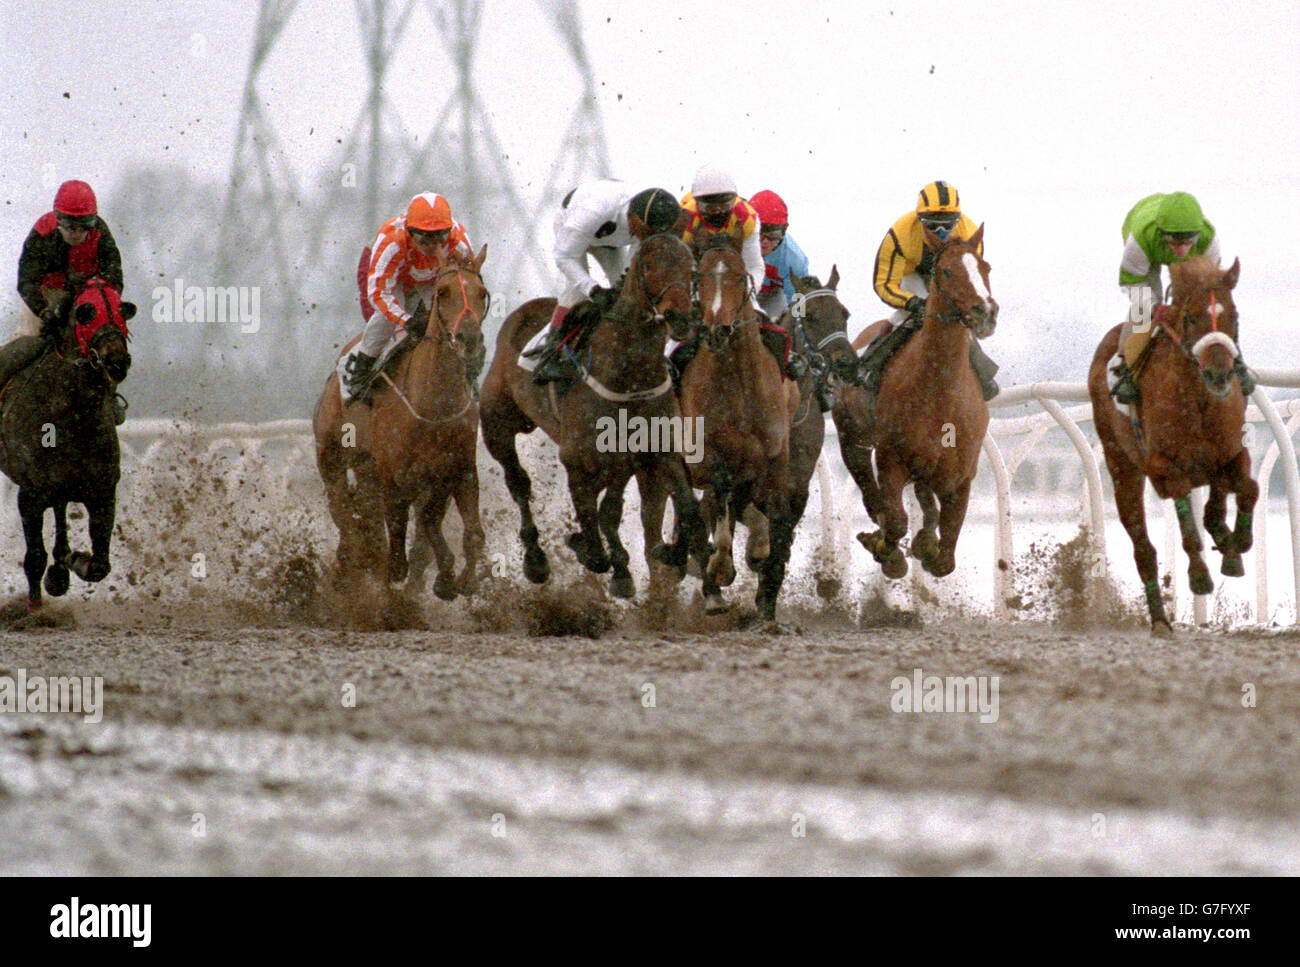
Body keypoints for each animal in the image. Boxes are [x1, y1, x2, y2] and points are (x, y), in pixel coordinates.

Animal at [0, 280, 134, 610]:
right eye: (86, 312)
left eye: (121, 309)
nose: (117, 361)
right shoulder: (30, 494)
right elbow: (35, 557)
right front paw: (35, 609)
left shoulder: (103, 490)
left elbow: (100, 565)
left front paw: (74, 561)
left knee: (61, 511)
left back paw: (61, 566)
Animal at [313, 246, 489, 600]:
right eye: (442, 292)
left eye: (482, 293)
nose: (470, 339)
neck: (434, 405)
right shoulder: (395, 476)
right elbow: (397, 547)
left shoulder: (458, 469)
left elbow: (462, 531)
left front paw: (459, 579)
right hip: (332, 456)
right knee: (345, 515)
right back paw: (349, 566)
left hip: (368, 468)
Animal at [479, 232, 715, 600]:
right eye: (649, 265)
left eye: (690, 266)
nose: (681, 317)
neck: (628, 375)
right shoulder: (577, 461)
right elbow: (592, 528)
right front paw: (588, 550)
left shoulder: (654, 453)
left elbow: (683, 506)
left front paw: (674, 558)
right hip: (497, 424)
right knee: (518, 483)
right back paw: (536, 559)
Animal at [835, 226, 997, 579]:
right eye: (946, 271)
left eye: (986, 267)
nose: (986, 312)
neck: (940, 392)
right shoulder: (890, 459)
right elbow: (895, 520)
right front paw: (888, 550)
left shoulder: (961, 475)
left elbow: (944, 559)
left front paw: (926, 542)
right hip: (851, 438)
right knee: (870, 493)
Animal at [1087, 255, 1256, 634]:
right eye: (1191, 317)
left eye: (1235, 316)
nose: (1220, 374)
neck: (1199, 401)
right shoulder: (1164, 467)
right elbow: (1189, 530)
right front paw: (1200, 576)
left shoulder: (1232, 453)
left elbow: (1247, 489)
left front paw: (1237, 543)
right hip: (1122, 467)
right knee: (1143, 549)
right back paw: (1160, 620)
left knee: (1217, 502)